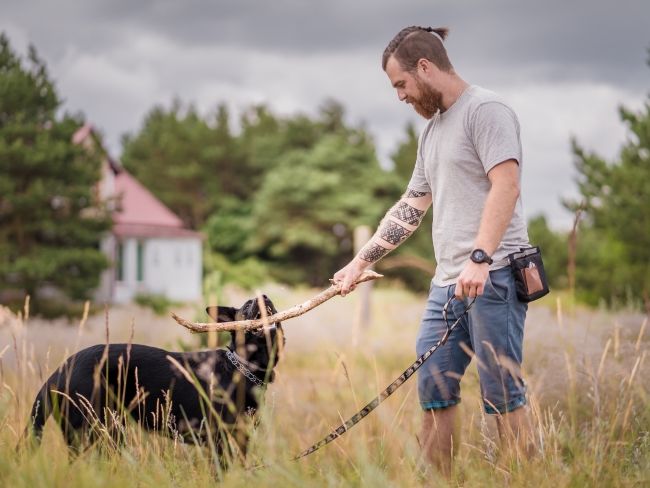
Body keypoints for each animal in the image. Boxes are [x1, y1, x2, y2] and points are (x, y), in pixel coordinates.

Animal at [21, 296, 284, 460]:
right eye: (248, 303)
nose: (264, 297)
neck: (242, 367)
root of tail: (59, 371)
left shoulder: (240, 438)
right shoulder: (219, 438)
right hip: (96, 431)